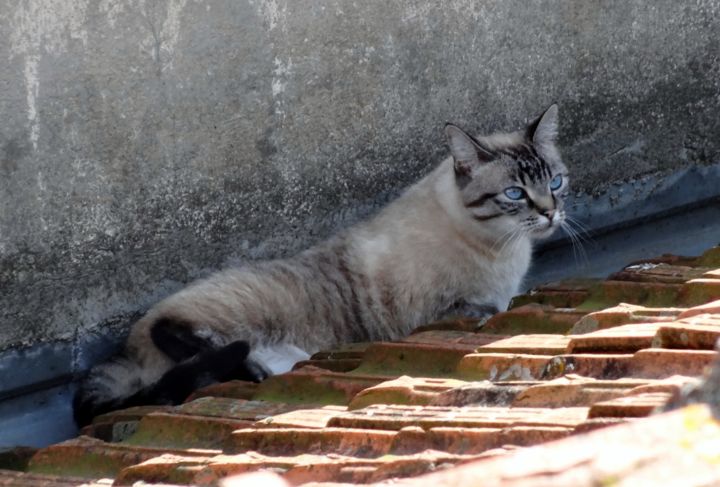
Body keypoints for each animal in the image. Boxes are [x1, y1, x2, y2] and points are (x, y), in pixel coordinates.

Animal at [73, 106, 568, 428]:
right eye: (515, 194)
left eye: (556, 182)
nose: (550, 214)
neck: (503, 249)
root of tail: (125, 354)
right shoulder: (440, 311)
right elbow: (483, 309)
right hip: (234, 312)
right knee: (181, 339)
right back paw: (252, 367)